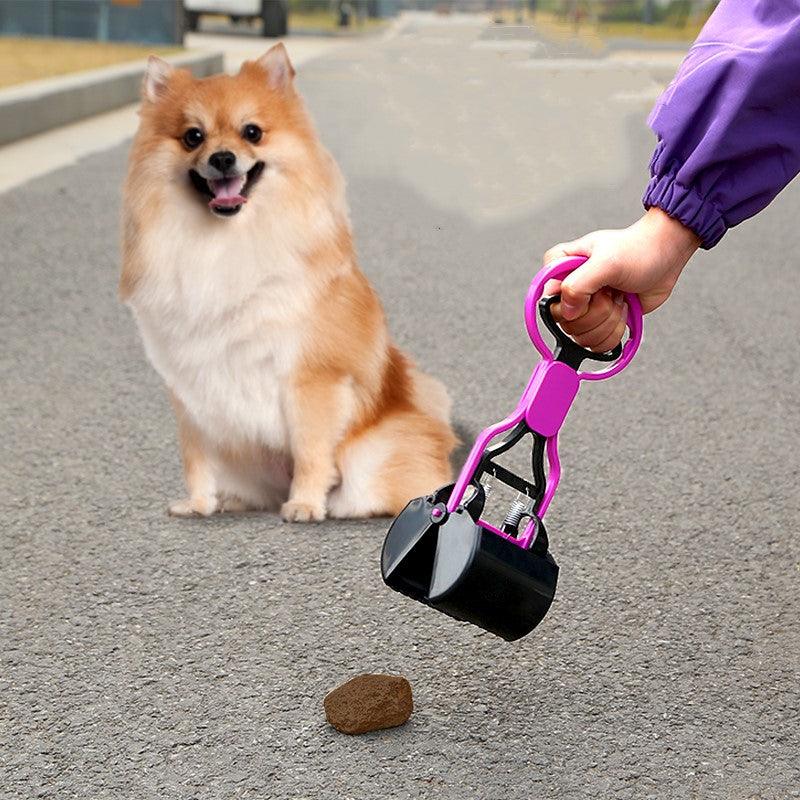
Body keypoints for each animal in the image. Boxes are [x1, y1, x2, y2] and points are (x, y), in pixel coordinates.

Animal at [119, 43, 456, 520]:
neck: (225, 241)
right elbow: (196, 455)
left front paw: (305, 504)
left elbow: (311, 447)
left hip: (373, 458)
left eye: (252, 132)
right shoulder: (191, 387)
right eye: (193, 137)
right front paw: (198, 502)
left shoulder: (311, 377)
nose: (223, 158)